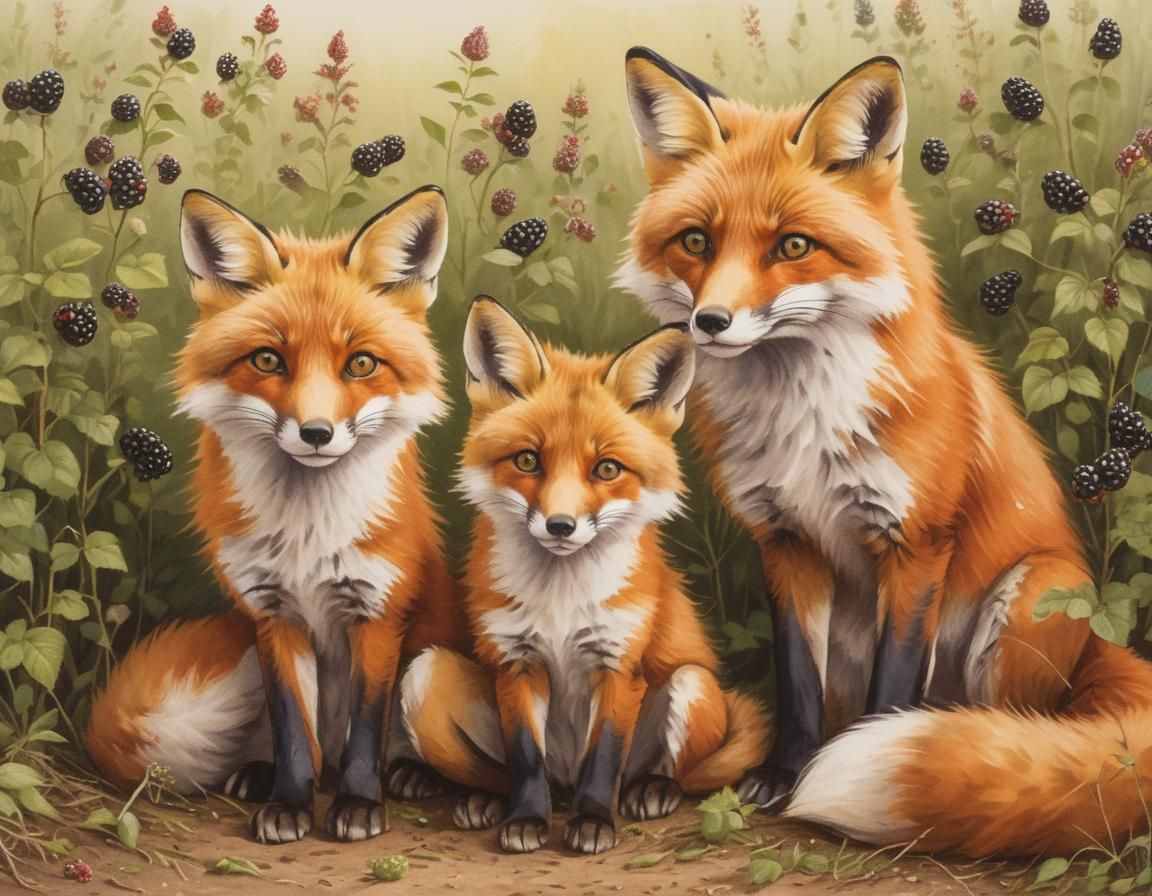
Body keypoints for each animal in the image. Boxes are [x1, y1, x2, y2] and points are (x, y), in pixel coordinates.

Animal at [85, 186, 470, 844]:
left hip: (426, 656)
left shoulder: (376, 614)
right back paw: (263, 775)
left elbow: (365, 732)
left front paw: (358, 806)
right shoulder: (272, 614)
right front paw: (289, 802)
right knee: (305, 745)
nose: (316, 433)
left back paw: (409, 775)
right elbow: (293, 728)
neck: (307, 532)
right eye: (268, 360)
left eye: (360, 364)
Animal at [395, 297, 768, 855]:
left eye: (607, 469)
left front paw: (593, 822)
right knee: (507, 773)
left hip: (693, 683)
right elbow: (525, 758)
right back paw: (485, 800)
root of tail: (564, 783)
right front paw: (524, 821)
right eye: (528, 460)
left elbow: (605, 757)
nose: (560, 526)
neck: (561, 601)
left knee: (667, 771)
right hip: (427, 674)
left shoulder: (617, 665)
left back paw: (650, 790)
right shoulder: (517, 663)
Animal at [616, 48, 1152, 857]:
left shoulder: (916, 542)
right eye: (697, 242)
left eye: (793, 246)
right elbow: (796, 680)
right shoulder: (785, 543)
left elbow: (894, 683)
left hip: (1032, 593)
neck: (801, 420)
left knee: (1007, 719)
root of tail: (1099, 643)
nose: (710, 322)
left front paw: (855, 761)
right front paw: (788, 773)